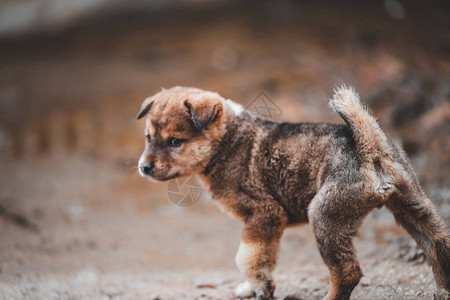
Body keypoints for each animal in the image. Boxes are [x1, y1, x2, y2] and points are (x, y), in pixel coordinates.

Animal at [137, 85, 450, 298]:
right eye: (148, 138)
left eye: (175, 141)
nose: (143, 167)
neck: (227, 140)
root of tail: (369, 145)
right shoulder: (267, 225)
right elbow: (263, 259)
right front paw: (255, 287)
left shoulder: (264, 214)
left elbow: (246, 259)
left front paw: (260, 286)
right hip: (413, 206)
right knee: (437, 245)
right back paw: (443, 290)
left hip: (325, 217)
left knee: (347, 272)